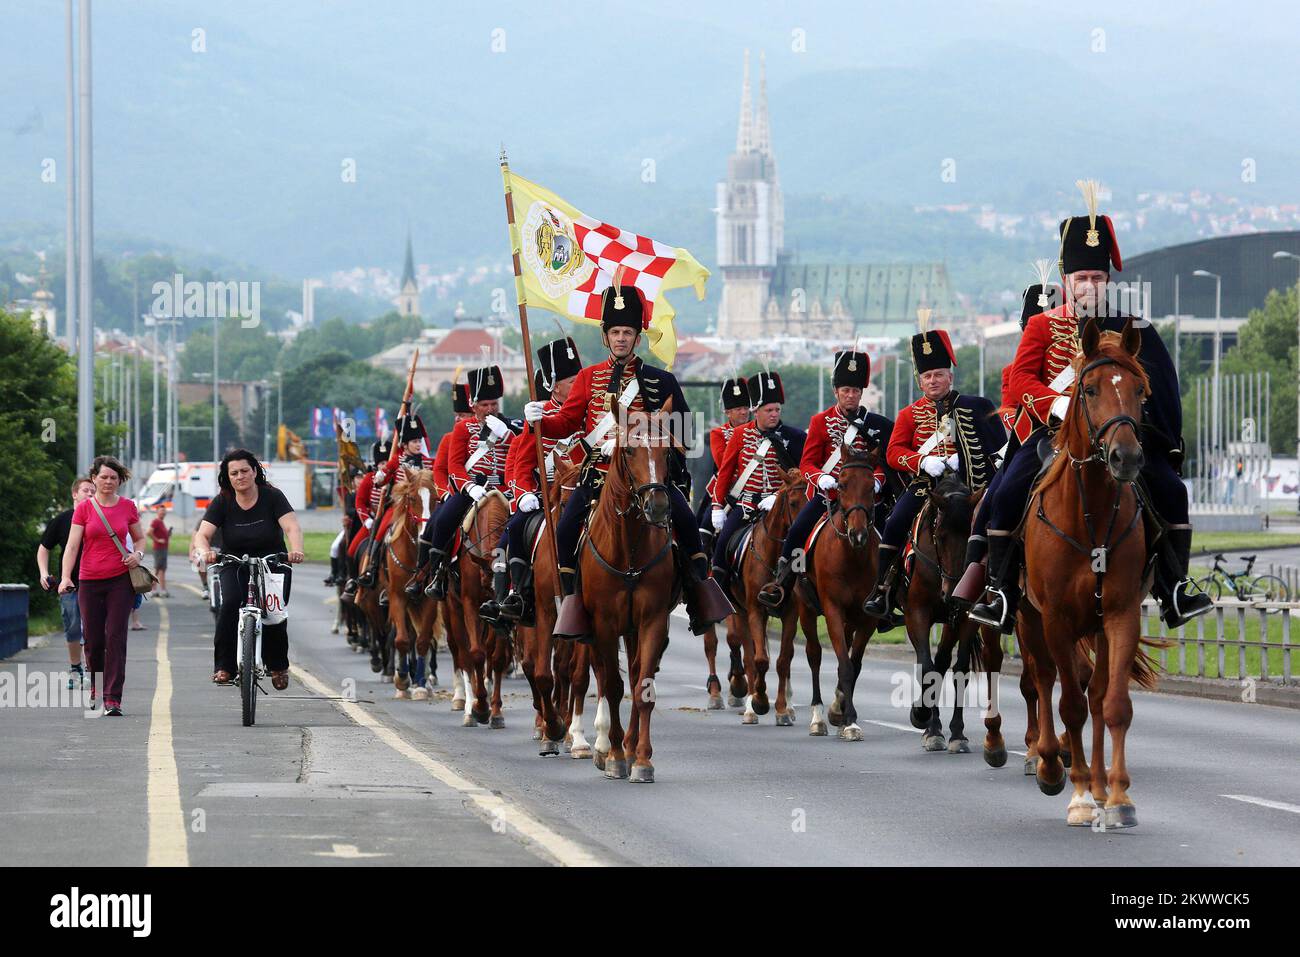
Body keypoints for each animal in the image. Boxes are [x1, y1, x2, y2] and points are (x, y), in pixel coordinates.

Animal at [733, 468, 800, 722]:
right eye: (793, 502)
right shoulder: (754, 609)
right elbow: (759, 660)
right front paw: (759, 701)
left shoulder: (791, 613)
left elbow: (783, 661)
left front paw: (781, 709)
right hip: (740, 612)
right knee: (749, 656)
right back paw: (750, 706)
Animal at [790, 447, 883, 738]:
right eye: (840, 484)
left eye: (871, 487)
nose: (858, 534)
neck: (851, 557)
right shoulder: (832, 609)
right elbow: (843, 663)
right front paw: (848, 719)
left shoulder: (868, 617)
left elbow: (855, 664)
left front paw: (842, 713)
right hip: (806, 609)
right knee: (814, 655)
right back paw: (817, 717)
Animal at [1019, 323, 1164, 832]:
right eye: (1090, 389)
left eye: (1140, 390)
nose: (1125, 458)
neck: (1092, 515)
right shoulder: (1056, 620)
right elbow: (1070, 706)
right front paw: (1078, 795)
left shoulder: (1120, 614)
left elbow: (1113, 704)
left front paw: (1116, 796)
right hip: (1028, 619)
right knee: (1043, 681)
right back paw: (1048, 763)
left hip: (1095, 626)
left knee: (1096, 692)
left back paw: (1099, 784)